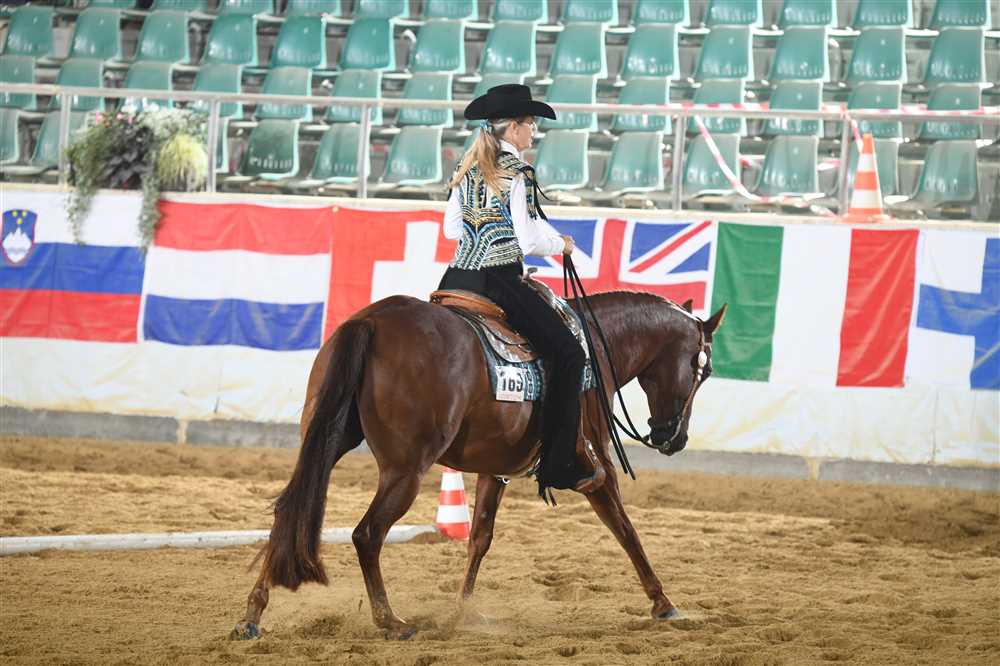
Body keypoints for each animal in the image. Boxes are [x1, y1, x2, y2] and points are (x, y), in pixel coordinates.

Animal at [231, 288, 727, 640]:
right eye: (701, 371)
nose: (674, 438)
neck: (594, 349)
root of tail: (372, 321)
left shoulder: (496, 469)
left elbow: (479, 539)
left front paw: (461, 611)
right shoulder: (596, 467)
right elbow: (626, 530)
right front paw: (664, 603)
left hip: (326, 441)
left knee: (289, 512)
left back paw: (252, 616)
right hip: (406, 470)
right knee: (367, 534)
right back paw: (391, 621)